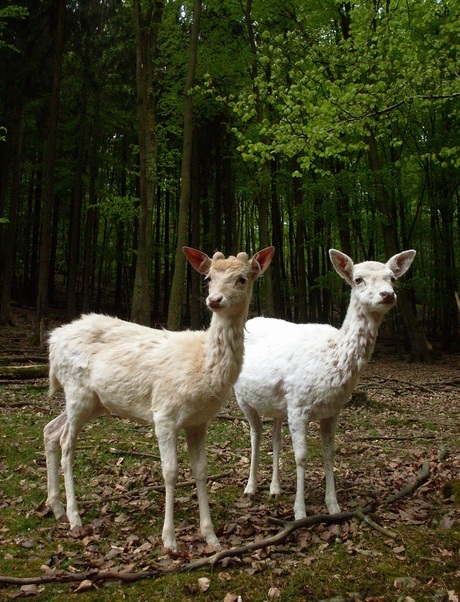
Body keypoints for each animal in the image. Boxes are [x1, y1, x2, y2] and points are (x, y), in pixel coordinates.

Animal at [44, 245, 274, 548]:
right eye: (208, 277)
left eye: (242, 279)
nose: (214, 300)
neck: (203, 366)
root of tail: (52, 341)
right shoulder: (164, 412)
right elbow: (171, 471)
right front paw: (170, 540)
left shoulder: (199, 421)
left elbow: (201, 470)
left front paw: (211, 536)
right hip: (76, 389)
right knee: (66, 441)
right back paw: (74, 517)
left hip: (95, 402)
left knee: (50, 430)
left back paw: (56, 507)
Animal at [235, 246, 416, 516]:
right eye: (358, 279)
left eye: (392, 278)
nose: (387, 294)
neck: (332, 357)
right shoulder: (298, 406)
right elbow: (301, 457)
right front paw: (300, 512)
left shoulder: (332, 410)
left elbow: (329, 454)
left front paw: (334, 506)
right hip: (241, 396)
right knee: (255, 434)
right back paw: (250, 487)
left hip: (278, 404)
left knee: (275, 437)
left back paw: (275, 488)